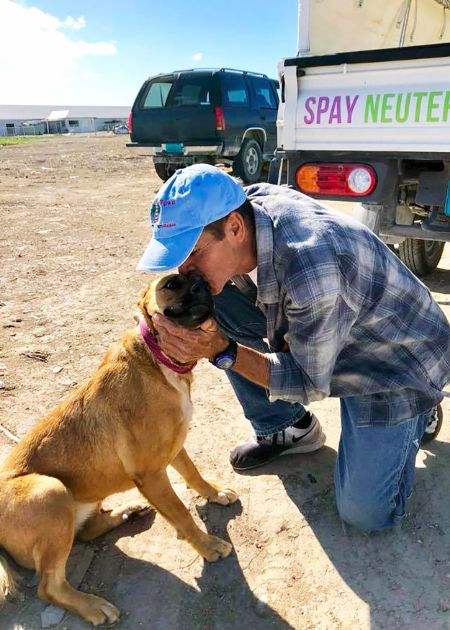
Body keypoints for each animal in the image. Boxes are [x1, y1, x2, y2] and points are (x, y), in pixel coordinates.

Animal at [0, 276, 237, 628]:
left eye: (200, 278)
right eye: (171, 284)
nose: (201, 285)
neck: (157, 359)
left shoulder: (175, 447)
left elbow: (194, 474)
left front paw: (215, 493)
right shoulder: (151, 473)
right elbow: (181, 512)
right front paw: (206, 545)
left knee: (86, 531)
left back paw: (126, 513)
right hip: (50, 490)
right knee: (48, 587)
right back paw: (93, 606)